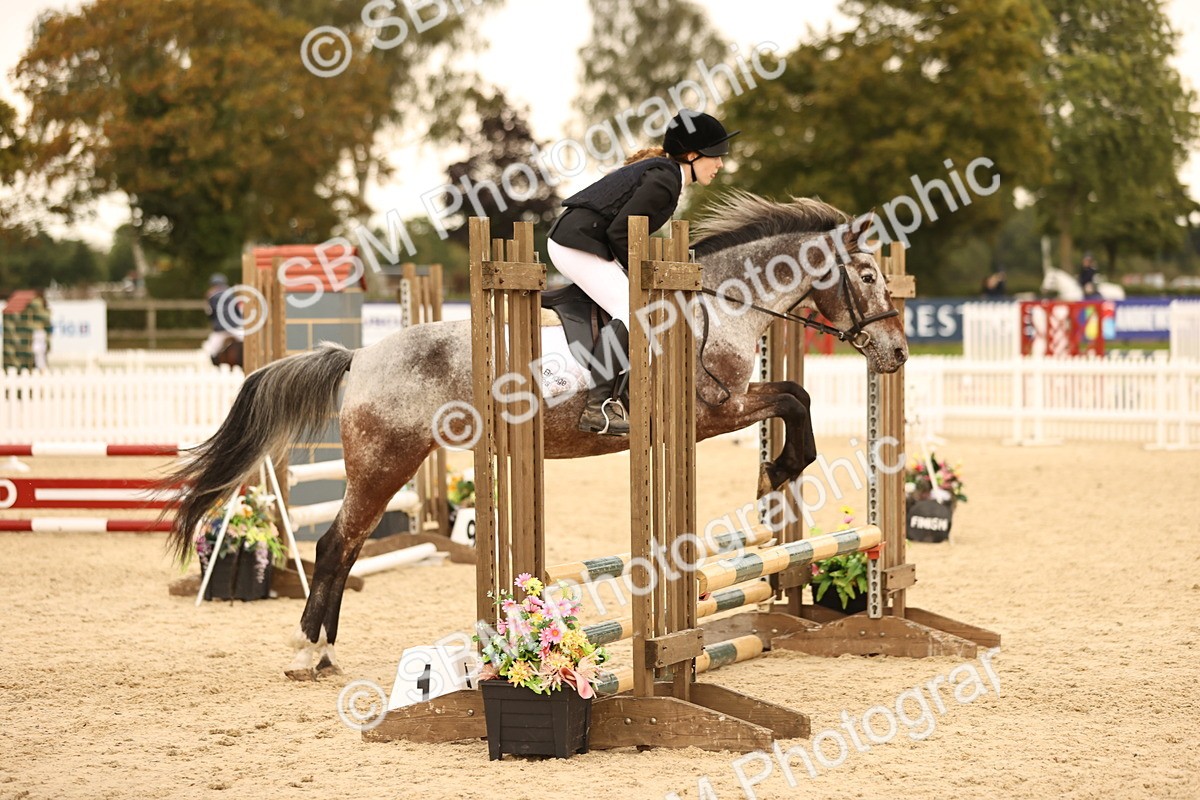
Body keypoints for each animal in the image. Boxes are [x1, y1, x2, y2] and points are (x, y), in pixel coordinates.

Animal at [163, 192, 910, 680]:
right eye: (867, 275)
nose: (897, 353)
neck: (716, 305)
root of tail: (361, 357)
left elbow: (794, 396)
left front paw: (774, 476)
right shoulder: (714, 410)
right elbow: (793, 398)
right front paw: (780, 470)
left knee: (343, 551)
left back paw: (322, 652)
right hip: (385, 461)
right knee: (333, 546)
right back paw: (306, 652)